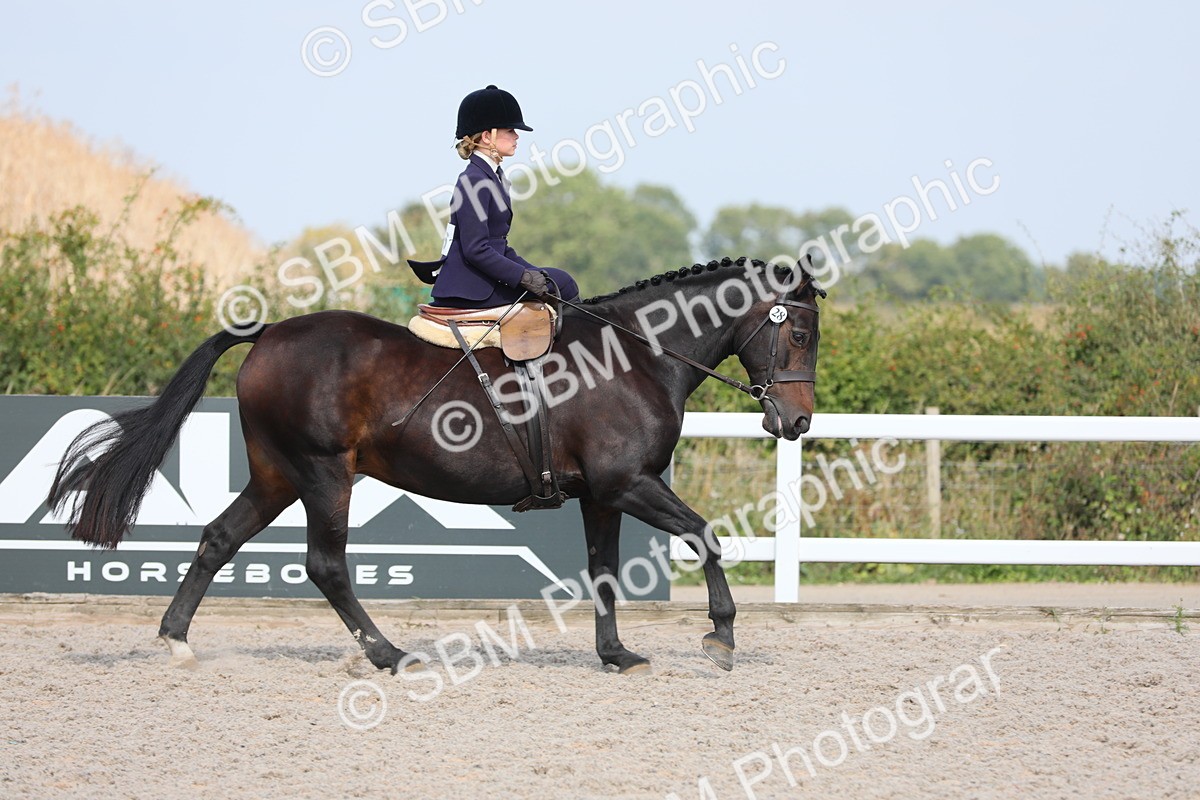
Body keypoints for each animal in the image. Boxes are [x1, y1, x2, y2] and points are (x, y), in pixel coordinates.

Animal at [47, 256, 824, 674]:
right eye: (801, 333)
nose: (797, 423)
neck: (635, 354)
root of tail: (268, 334)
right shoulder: (630, 484)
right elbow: (707, 536)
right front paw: (722, 635)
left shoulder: (604, 494)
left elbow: (604, 571)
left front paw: (616, 654)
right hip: (324, 474)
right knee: (325, 565)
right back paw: (388, 654)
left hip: (276, 476)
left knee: (218, 538)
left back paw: (177, 641)